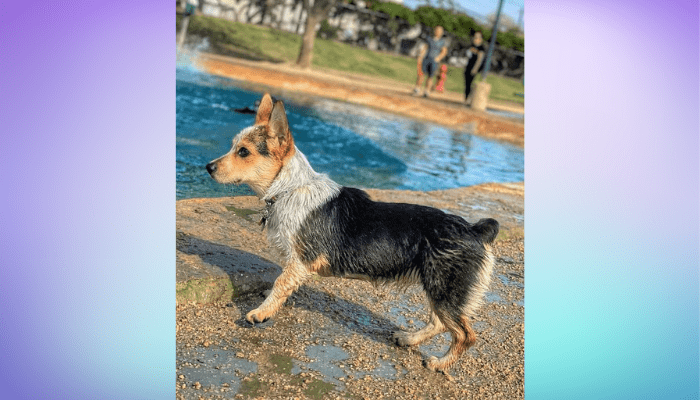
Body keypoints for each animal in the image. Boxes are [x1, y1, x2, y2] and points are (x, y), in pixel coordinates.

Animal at [205, 93, 500, 372]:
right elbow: (281, 284)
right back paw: (409, 339)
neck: (288, 188)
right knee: (439, 323)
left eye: (243, 152)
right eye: (234, 147)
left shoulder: (301, 261)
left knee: (464, 334)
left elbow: (280, 284)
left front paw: (262, 312)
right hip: (439, 290)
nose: (208, 167)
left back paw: (440, 364)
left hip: (445, 289)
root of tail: (474, 230)